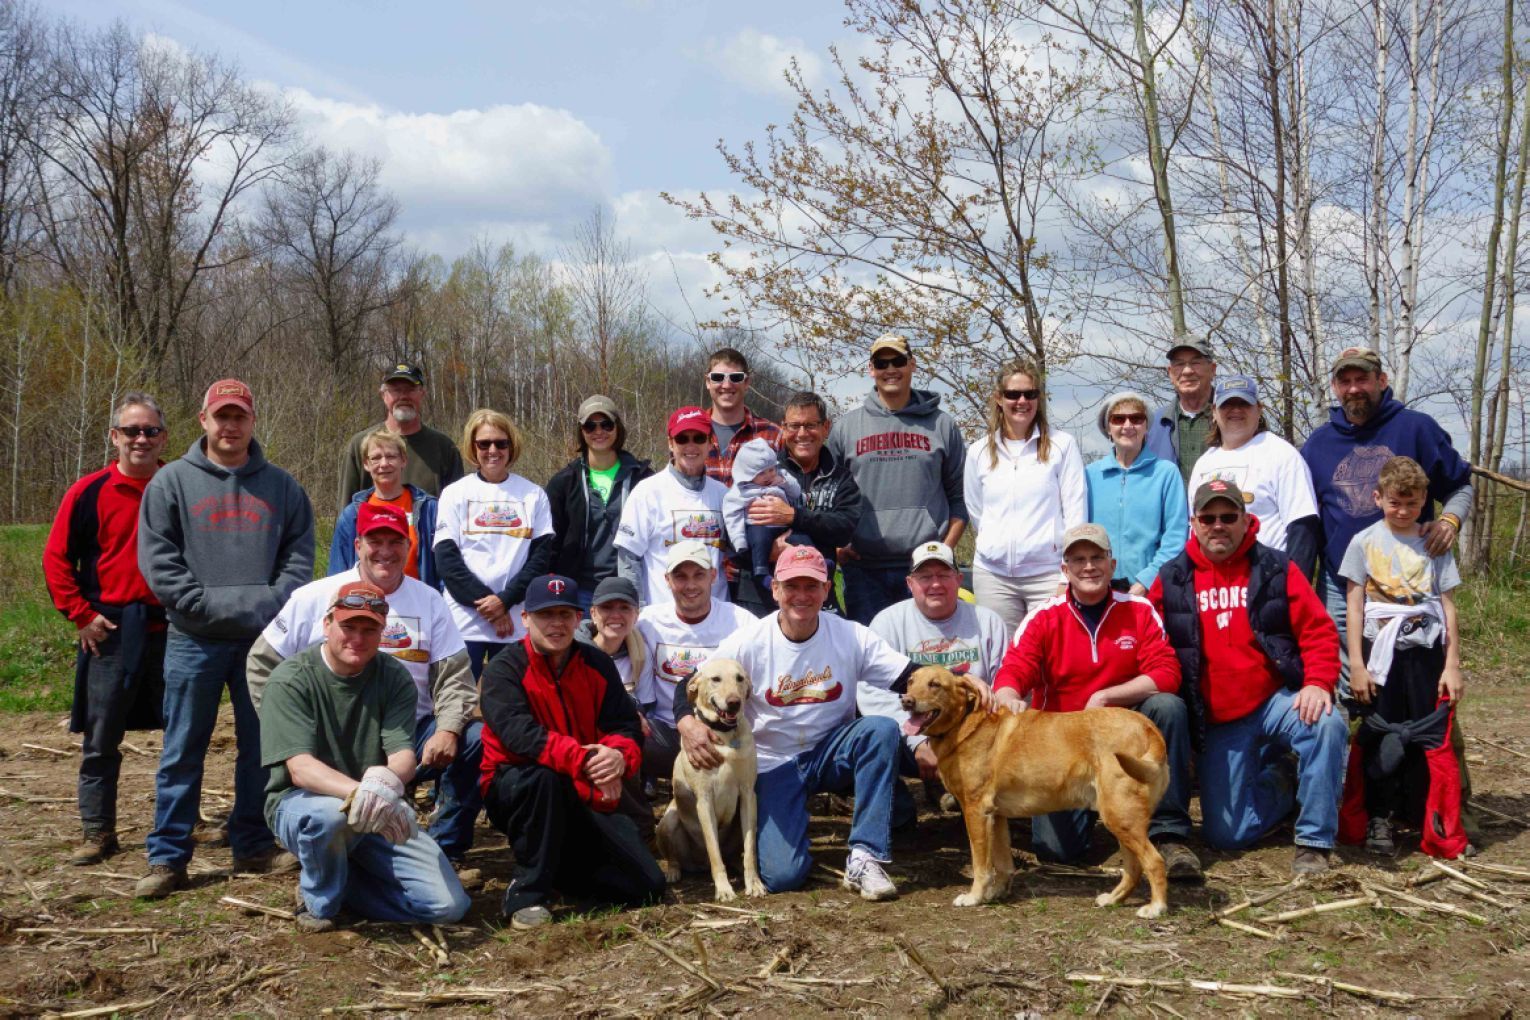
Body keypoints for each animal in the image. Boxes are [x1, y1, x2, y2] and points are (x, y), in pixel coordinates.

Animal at [651, 657, 765, 899]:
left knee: (734, 854)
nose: (734, 703)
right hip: (668, 821)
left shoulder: (748, 795)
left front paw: (754, 883)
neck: (725, 734)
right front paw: (723, 889)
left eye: (740, 678)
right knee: (674, 857)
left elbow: (750, 849)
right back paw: (673, 872)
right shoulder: (704, 800)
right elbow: (714, 852)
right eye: (715, 679)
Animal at [893, 669, 1168, 917]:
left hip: (1120, 816)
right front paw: (997, 894)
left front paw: (974, 897)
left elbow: (981, 865)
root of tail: (1148, 727)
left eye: (935, 684)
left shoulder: (976, 811)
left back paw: (1156, 908)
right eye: (910, 681)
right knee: (1133, 868)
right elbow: (1003, 864)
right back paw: (1113, 899)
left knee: (1154, 862)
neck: (965, 724)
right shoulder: (996, 816)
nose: (906, 700)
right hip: (1120, 818)